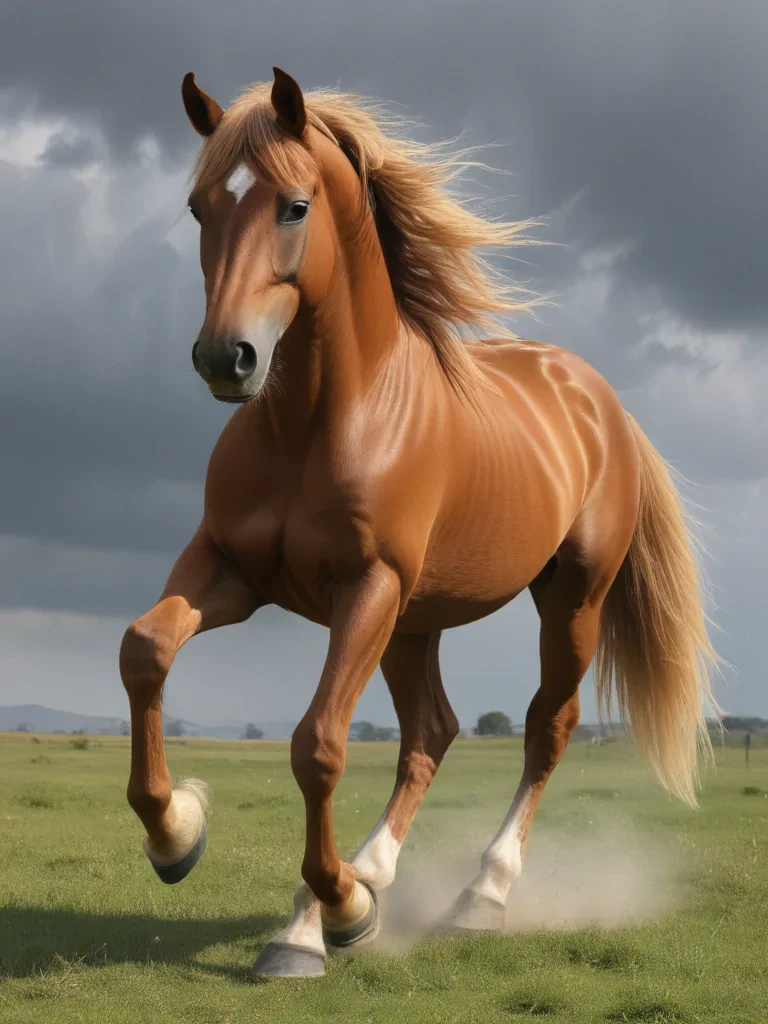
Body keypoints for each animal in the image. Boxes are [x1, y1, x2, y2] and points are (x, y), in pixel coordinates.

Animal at [119, 68, 719, 978]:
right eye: (197, 207)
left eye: (294, 206)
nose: (226, 359)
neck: (320, 422)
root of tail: (598, 400)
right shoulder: (230, 568)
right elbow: (146, 649)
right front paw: (177, 833)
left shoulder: (366, 586)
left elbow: (318, 744)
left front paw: (331, 917)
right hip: (415, 620)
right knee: (431, 731)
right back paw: (365, 880)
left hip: (565, 601)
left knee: (546, 729)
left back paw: (475, 898)